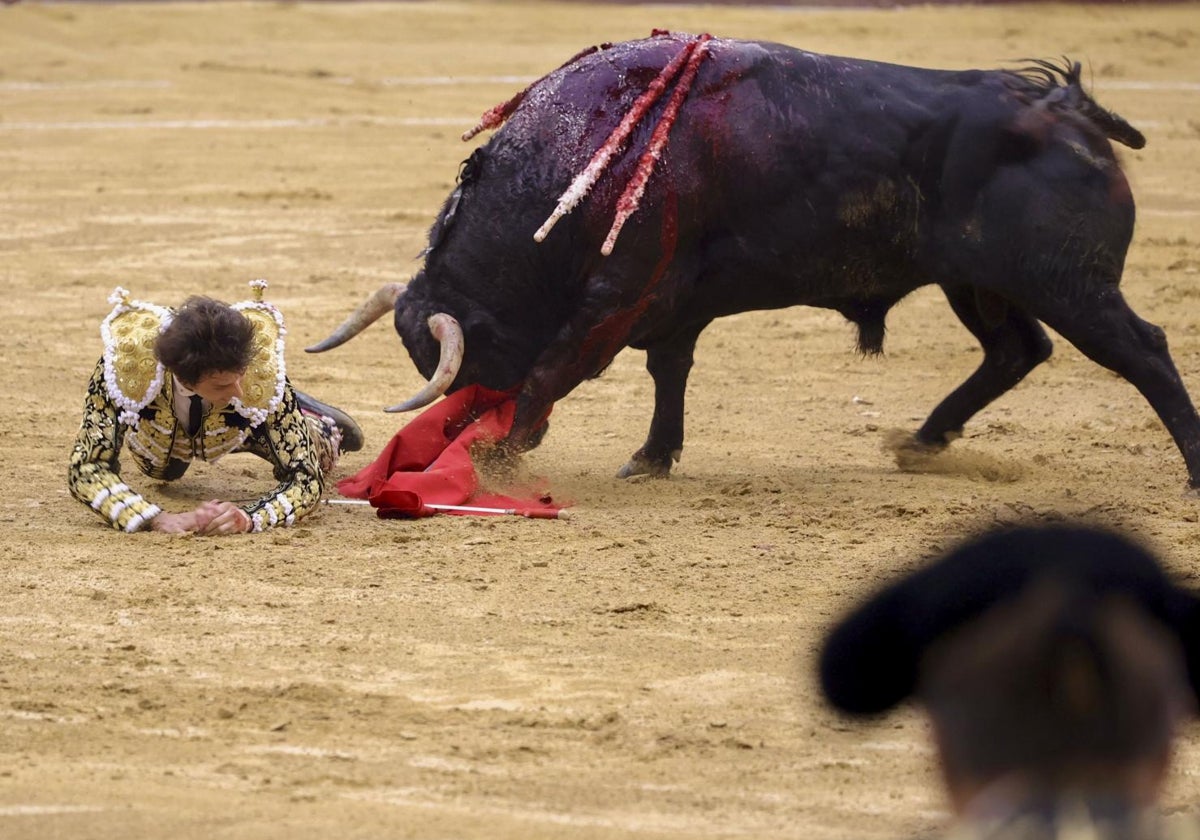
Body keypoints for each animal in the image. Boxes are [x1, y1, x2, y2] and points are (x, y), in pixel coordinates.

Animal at [307, 34, 1200, 484]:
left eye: (482, 359)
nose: (475, 429)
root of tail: (1065, 107)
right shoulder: (672, 301)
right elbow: (668, 370)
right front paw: (650, 456)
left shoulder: (620, 289)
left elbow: (562, 360)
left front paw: (504, 449)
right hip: (980, 283)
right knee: (1018, 350)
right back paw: (924, 441)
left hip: (1068, 282)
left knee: (1143, 351)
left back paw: (1192, 471)